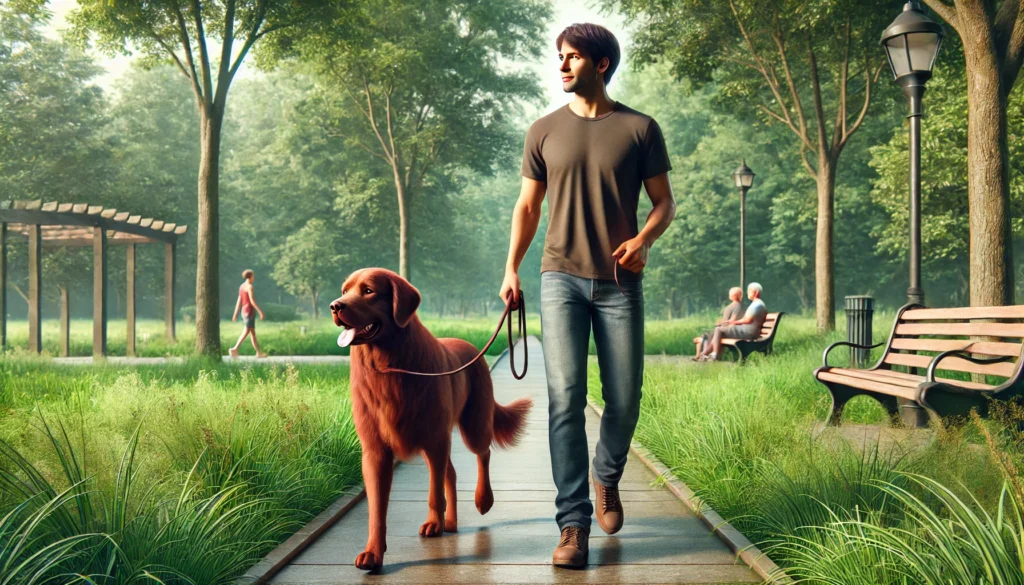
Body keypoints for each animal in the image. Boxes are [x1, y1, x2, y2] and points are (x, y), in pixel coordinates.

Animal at [329, 268, 536, 573]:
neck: (388, 366)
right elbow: (377, 508)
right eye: (345, 291)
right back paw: (451, 522)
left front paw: (434, 524)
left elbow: (434, 493)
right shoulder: (375, 451)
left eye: (368, 291)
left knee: (482, 453)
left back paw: (482, 499)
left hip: (472, 425)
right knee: (452, 472)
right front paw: (373, 553)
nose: (335, 306)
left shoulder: (435, 439)